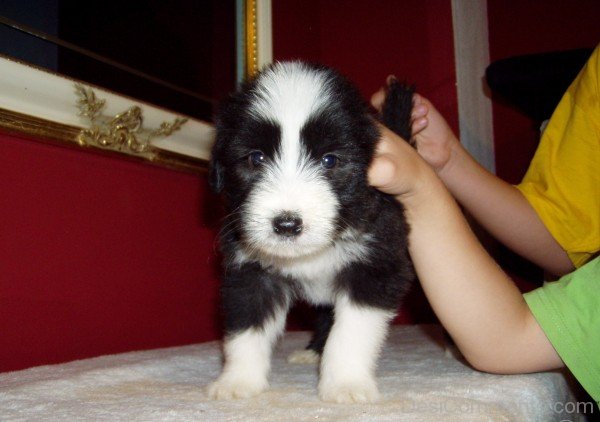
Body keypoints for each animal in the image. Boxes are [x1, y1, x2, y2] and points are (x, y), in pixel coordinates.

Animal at [209, 61, 414, 402]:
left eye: (329, 160)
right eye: (256, 158)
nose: (287, 224)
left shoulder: (375, 266)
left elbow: (351, 332)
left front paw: (346, 384)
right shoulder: (251, 271)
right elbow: (246, 326)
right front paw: (238, 382)